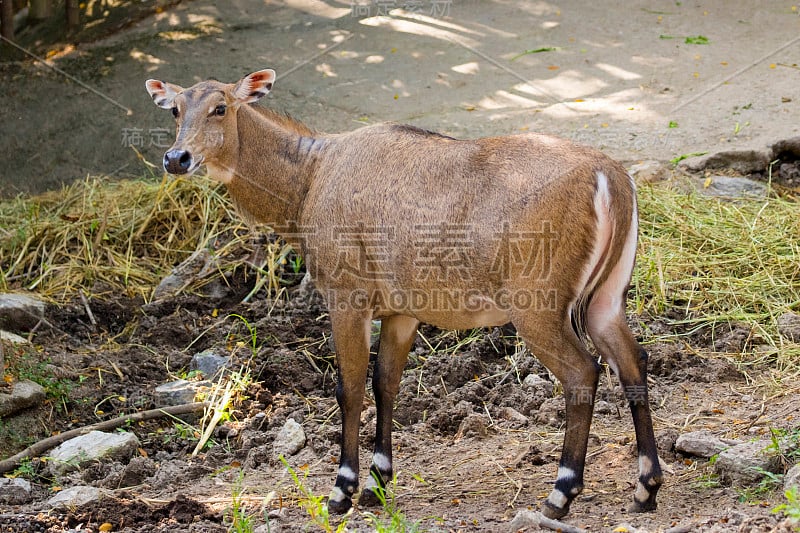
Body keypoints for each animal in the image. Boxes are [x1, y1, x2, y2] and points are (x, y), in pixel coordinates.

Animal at [147, 68, 664, 516]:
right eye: (175, 109)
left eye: (220, 107)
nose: (177, 158)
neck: (309, 180)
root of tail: (612, 180)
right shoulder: (402, 310)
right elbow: (386, 382)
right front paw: (378, 482)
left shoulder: (346, 295)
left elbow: (350, 386)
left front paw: (342, 491)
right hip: (606, 296)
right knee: (632, 359)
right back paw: (645, 487)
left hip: (537, 303)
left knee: (583, 371)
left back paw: (560, 494)